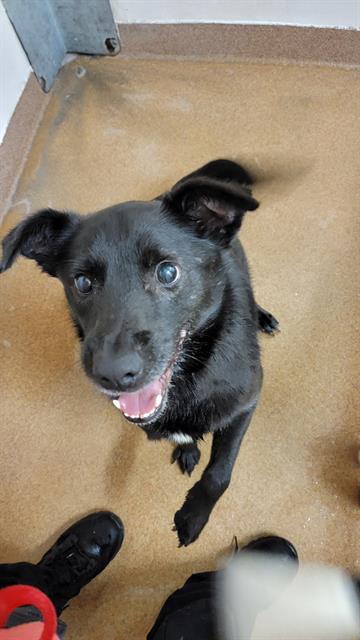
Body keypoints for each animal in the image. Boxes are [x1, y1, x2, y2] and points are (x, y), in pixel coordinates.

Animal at [0, 160, 278, 544]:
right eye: (82, 282)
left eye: (168, 271)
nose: (114, 374)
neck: (189, 377)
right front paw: (187, 447)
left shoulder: (245, 405)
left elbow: (219, 474)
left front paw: (193, 516)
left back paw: (262, 317)